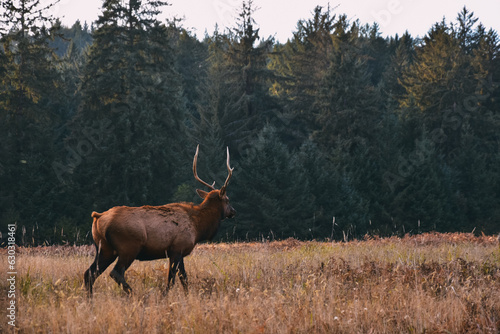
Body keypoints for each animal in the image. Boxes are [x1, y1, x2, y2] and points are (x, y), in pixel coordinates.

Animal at [84, 146, 236, 294]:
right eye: (227, 200)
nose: (233, 211)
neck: (198, 227)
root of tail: (98, 218)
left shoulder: (177, 253)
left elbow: (184, 279)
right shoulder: (177, 248)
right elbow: (172, 280)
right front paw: (165, 296)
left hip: (104, 248)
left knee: (89, 274)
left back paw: (90, 299)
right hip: (128, 247)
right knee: (115, 273)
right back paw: (134, 294)